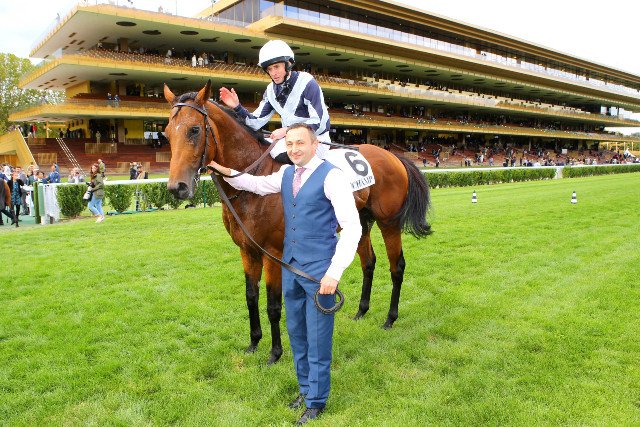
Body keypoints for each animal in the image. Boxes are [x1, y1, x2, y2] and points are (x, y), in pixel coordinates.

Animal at [164, 81, 431, 365]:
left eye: (194, 130)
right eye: (167, 133)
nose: (177, 187)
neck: (252, 185)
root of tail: (394, 156)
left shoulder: (273, 253)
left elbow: (273, 304)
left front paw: (275, 353)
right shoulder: (247, 250)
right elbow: (250, 297)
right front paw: (253, 342)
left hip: (388, 222)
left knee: (397, 266)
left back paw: (390, 318)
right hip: (360, 221)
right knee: (368, 263)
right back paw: (361, 311)